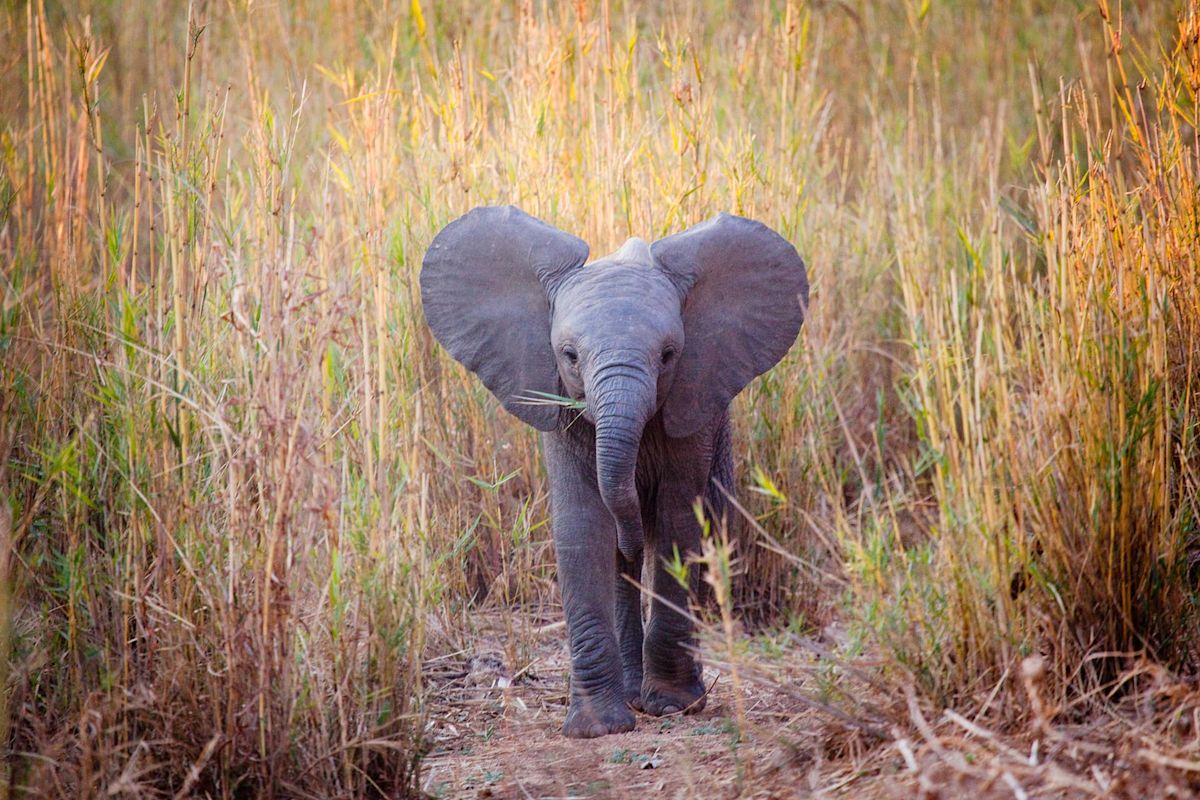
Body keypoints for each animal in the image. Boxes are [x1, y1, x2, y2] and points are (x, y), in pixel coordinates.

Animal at [420, 206, 808, 738]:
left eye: (668, 355)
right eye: (569, 355)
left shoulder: (693, 404)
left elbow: (677, 521)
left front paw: (671, 706)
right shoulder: (560, 408)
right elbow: (583, 527)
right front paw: (596, 728)